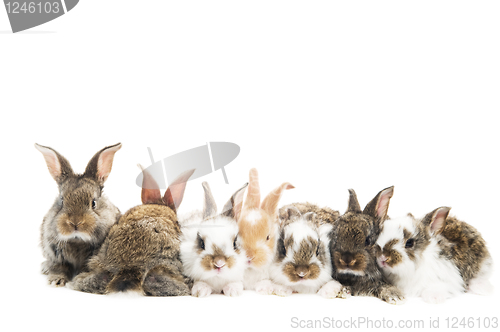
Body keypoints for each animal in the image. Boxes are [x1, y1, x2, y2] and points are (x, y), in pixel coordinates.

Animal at [35, 142, 122, 286]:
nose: (75, 222)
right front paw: (56, 281)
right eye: (61, 201)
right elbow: (60, 268)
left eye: (93, 203)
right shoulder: (56, 256)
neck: (77, 240)